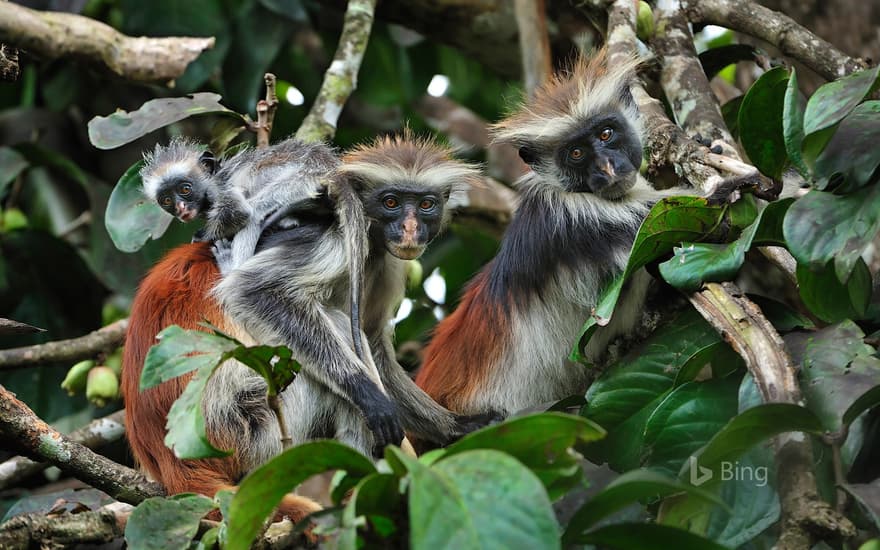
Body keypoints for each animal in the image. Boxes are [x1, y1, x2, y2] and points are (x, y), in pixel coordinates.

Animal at [122, 134, 496, 528]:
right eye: (391, 203)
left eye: (426, 205)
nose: (410, 229)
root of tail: (171, 462)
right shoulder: (329, 239)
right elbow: (251, 291)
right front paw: (369, 396)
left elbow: (372, 341)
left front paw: (455, 426)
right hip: (250, 426)